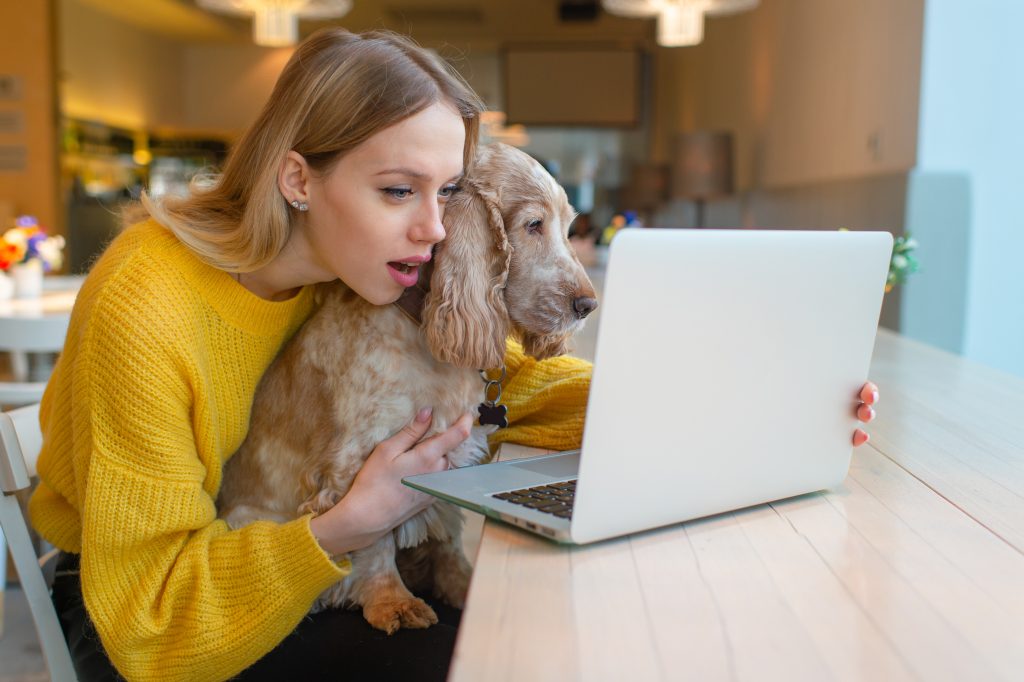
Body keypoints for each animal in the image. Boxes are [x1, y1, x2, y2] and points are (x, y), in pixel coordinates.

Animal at [220, 143, 598, 630]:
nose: (588, 305)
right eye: (534, 225)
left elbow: (448, 531)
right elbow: (373, 539)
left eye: (569, 228)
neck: (422, 325)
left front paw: (459, 583)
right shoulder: (359, 459)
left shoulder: (454, 454)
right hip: (245, 517)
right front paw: (392, 601)